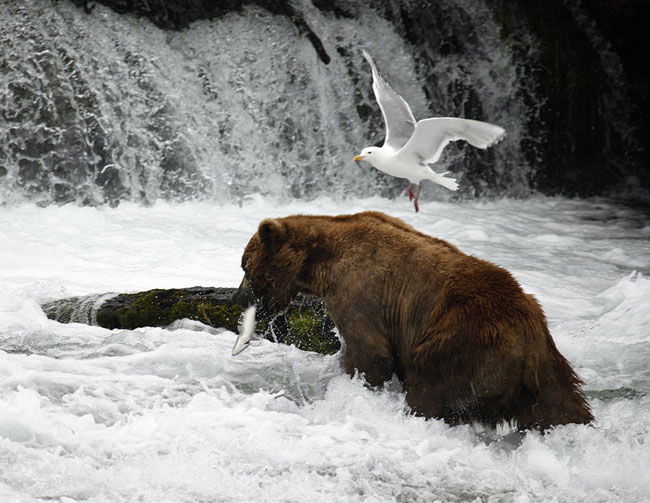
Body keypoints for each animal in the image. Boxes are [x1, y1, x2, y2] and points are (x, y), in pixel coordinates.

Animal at [234, 211, 592, 432]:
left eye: (246, 266)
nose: (238, 298)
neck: (322, 262)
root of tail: (528, 341)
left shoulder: (359, 291)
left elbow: (370, 353)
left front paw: (351, 387)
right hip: (548, 366)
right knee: (560, 407)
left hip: (462, 341)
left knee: (428, 384)